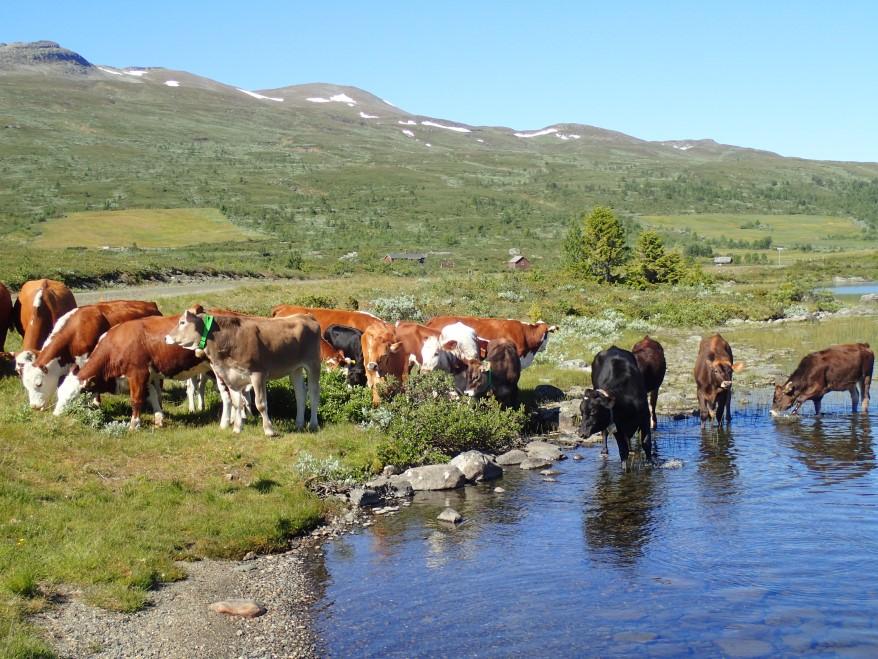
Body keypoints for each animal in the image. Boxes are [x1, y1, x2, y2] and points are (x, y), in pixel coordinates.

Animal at [54, 316, 211, 430]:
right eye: (59, 394)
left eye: (73, 398)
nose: (55, 415)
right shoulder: (146, 378)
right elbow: (153, 396)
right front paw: (159, 419)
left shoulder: (138, 374)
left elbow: (136, 400)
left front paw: (134, 424)